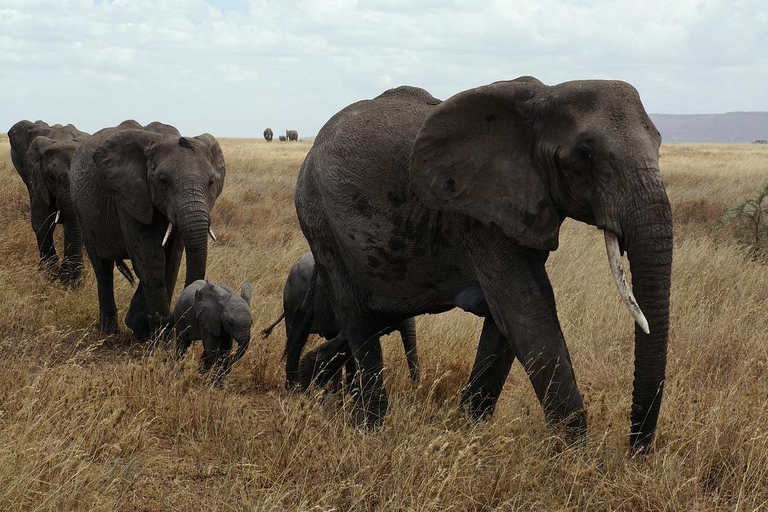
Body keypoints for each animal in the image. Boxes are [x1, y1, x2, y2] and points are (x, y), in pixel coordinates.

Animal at [70, 118, 226, 338]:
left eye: (211, 182)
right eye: (163, 181)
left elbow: (172, 259)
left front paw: (143, 327)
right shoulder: (128, 194)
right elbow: (150, 258)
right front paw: (157, 337)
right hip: (80, 211)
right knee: (102, 268)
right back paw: (109, 332)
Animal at [294, 77, 672, 452]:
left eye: (659, 144)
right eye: (585, 153)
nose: (635, 453)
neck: (545, 95)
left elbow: (507, 320)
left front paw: (469, 428)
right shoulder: (479, 215)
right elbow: (527, 313)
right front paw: (576, 454)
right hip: (320, 222)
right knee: (358, 319)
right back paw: (371, 428)